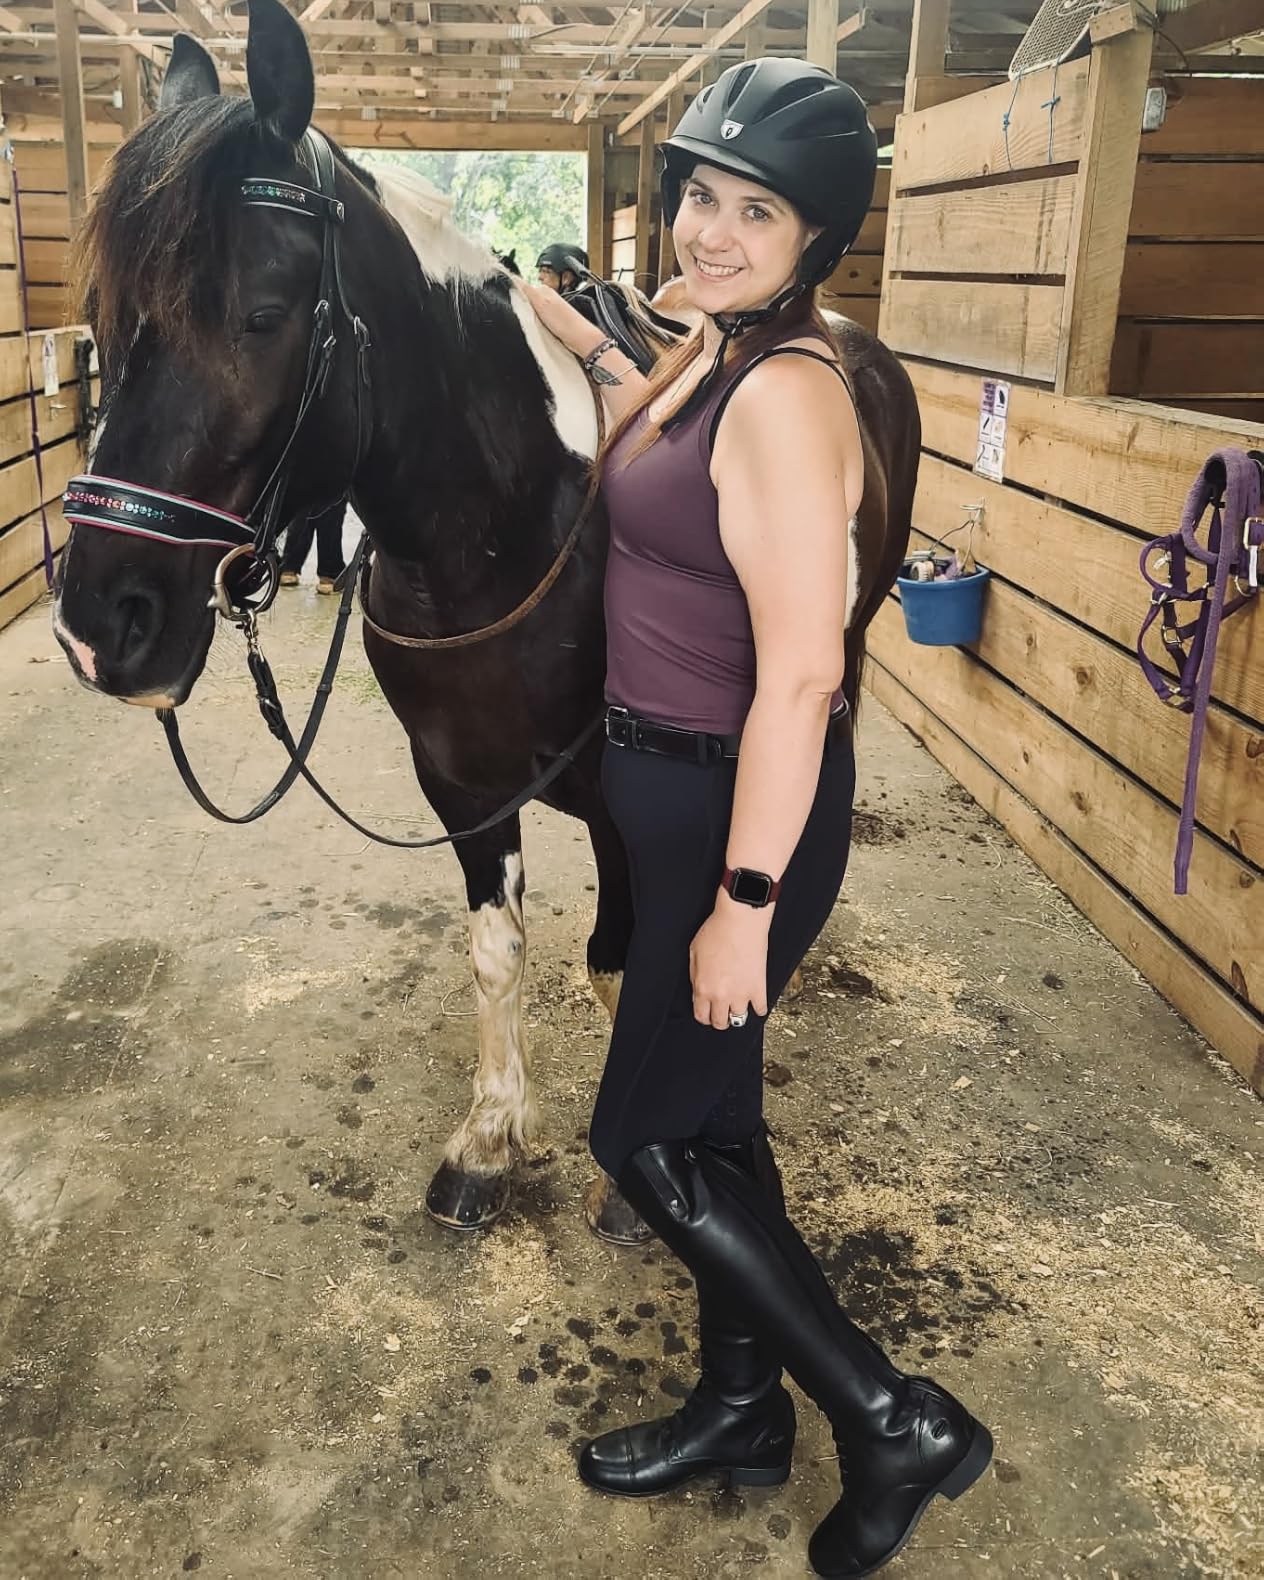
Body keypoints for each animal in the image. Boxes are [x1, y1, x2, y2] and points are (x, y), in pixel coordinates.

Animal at [51, 0, 920, 1242]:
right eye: (103, 319)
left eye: (260, 316)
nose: (99, 625)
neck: (506, 530)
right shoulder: (461, 783)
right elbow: (498, 948)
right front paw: (489, 1140)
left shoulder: (626, 785)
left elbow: (644, 953)